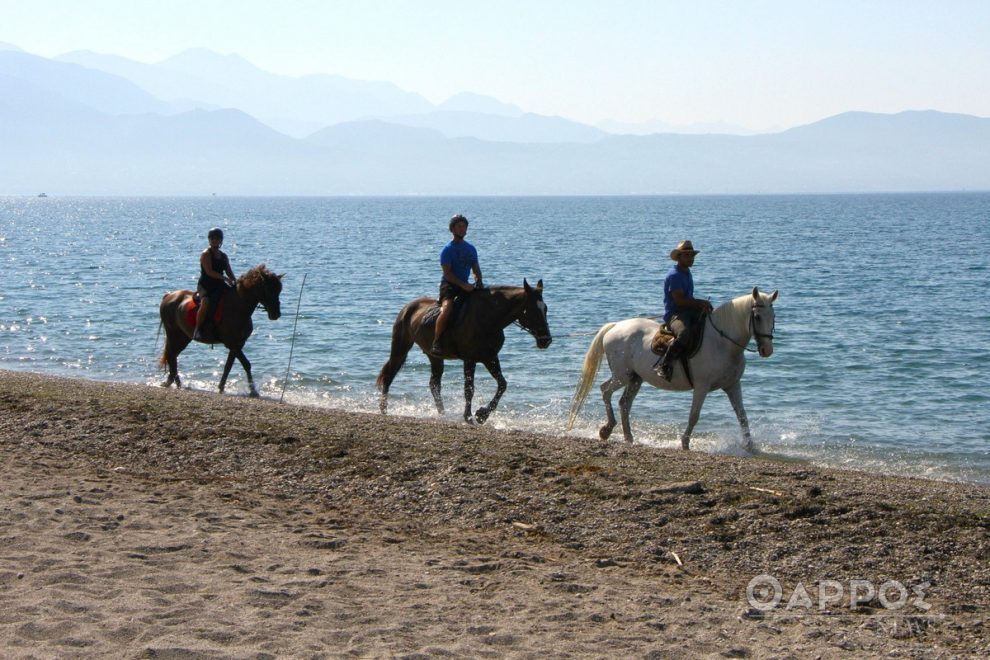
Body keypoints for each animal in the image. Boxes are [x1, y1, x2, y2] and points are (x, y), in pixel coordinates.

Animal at [158, 264, 282, 398]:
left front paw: (221, 387)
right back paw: (176, 383)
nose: (276, 314)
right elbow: (246, 364)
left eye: (279, 290)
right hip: (173, 334)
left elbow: (228, 366)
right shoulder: (232, 344)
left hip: (183, 337)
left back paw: (173, 382)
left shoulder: (238, 344)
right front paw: (253, 391)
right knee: (171, 355)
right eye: (269, 290)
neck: (238, 306)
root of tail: (169, 296)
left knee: (173, 355)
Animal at [376, 278, 556, 422]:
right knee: (389, 376)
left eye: (546, 308)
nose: (546, 340)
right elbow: (469, 389)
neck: (488, 317)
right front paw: (469, 416)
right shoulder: (470, 359)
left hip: (434, 356)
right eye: (532, 309)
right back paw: (383, 410)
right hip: (400, 348)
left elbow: (502, 384)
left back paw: (442, 413)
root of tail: (408, 307)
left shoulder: (490, 357)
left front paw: (482, 414)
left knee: (434, 384)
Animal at [568, 286, 780, 452]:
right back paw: (607, 429)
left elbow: (742, 416)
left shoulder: (733, 385)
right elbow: (694, 416)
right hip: (622, 376)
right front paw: (685, 443)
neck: (722, 343)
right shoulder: (701, 387)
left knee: (624, 403)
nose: (767, 350)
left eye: (773, 316)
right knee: (605, 390)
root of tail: (615, 327)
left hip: (636, 379)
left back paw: (628, 436)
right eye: (757, 317)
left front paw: (749, 445)